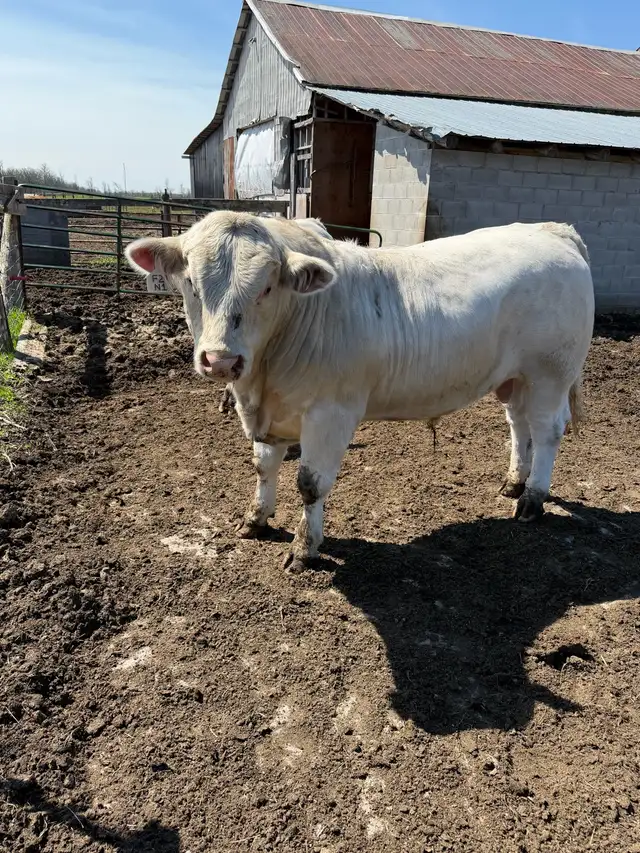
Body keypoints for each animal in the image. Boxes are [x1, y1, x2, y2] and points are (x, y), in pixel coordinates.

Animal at [126, 214, 594, 572]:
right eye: (190, 282)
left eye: (266, 287)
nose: (220, 360)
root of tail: (552, 229)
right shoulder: (272, 415)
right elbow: (262, 466)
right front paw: (256, 519)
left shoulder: (330, 413)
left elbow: (310, 483)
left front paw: (304, 548)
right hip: (515, 378)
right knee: (519, 424)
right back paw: (514, 482)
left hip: (551, 373)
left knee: (547, 430)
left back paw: (532, 500)